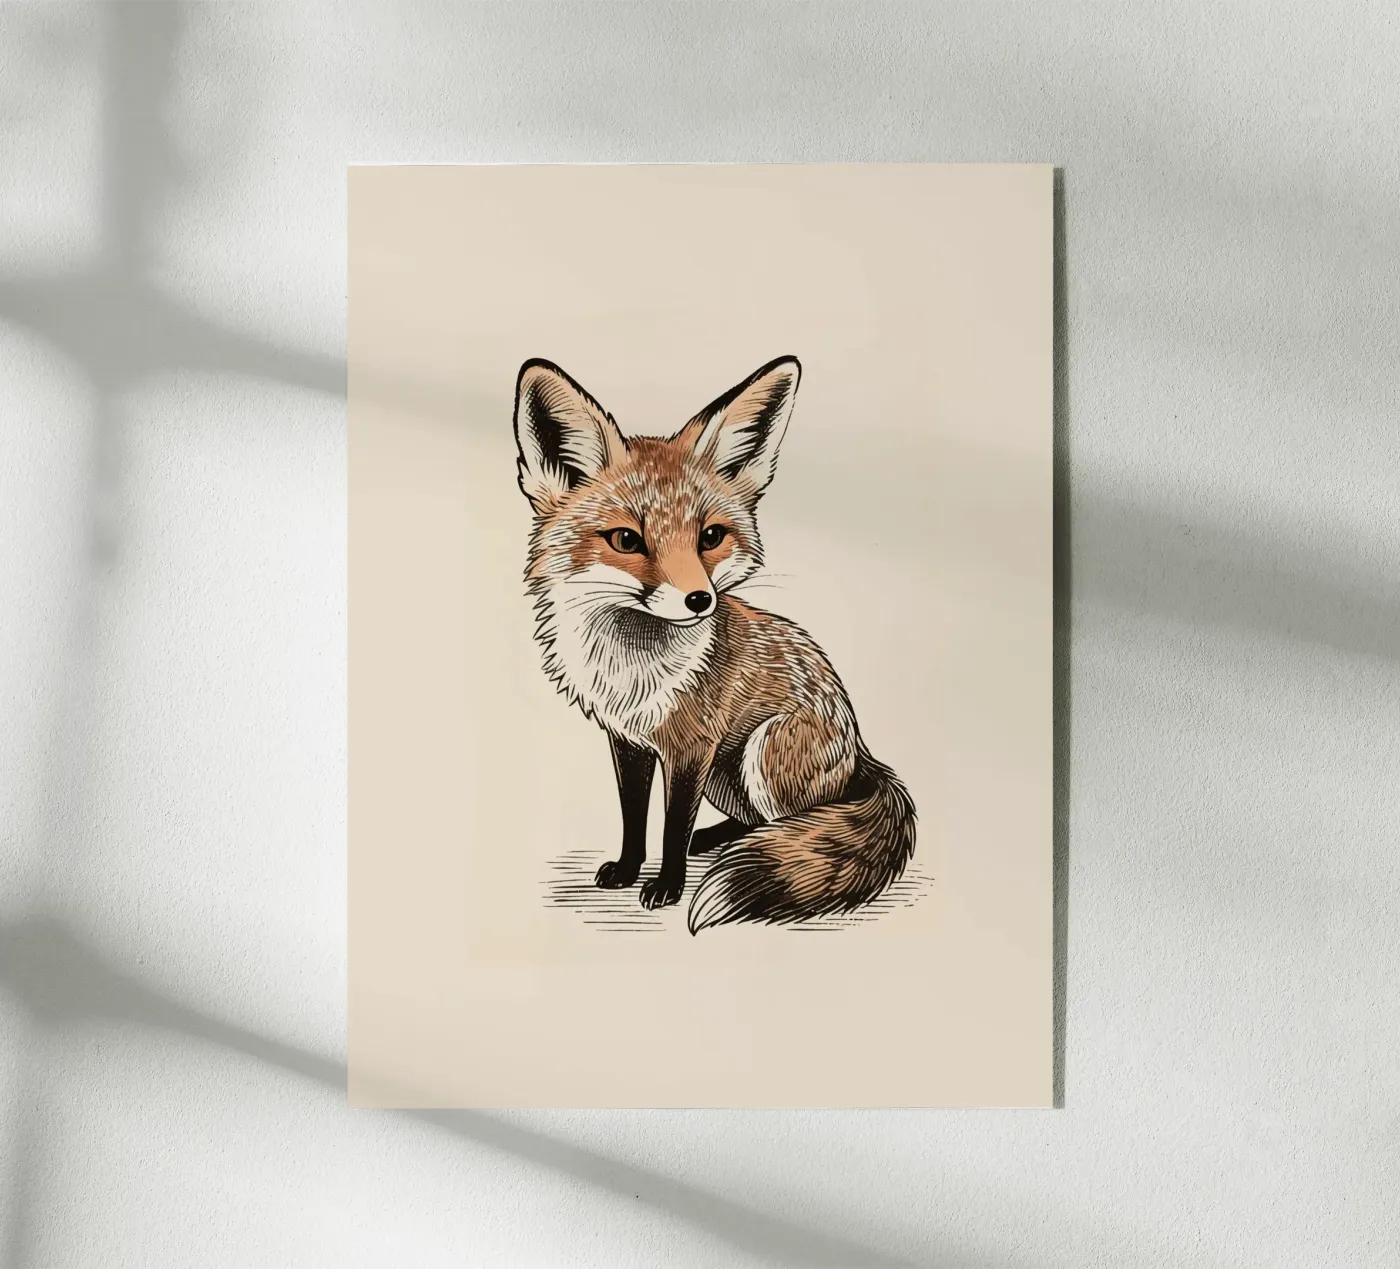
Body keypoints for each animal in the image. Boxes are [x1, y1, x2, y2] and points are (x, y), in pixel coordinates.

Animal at [512, 354, 916, 933]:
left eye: (710, 537)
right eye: (626, 540)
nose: (700, 600)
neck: (633, 669)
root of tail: (861, 750)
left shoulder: (692, 746)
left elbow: (672, 825)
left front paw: (667, 886)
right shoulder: (629, 741)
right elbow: (634, 816)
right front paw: (629, 870)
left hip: (761, 751)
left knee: (800, 824)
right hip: (730, 777)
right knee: (759, 821)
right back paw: (720, 840)